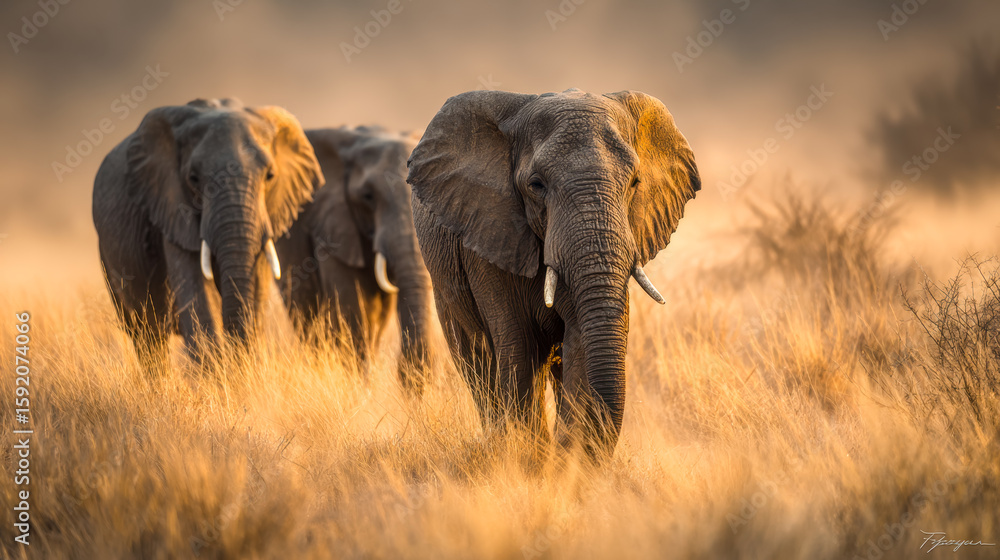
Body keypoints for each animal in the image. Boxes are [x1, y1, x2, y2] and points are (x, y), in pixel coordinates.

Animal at [93, 98, 324, 371]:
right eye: (193, 179)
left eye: (270, 176)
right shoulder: (171, 208)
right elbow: (198, 296)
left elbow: (255, 288)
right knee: (148, 338)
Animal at [274, 126, 433, 393]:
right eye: (368, 196)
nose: (406, 376)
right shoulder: (333, 224)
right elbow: (351, 302)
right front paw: (359, 391)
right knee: (305, 312)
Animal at [407, 89, 700, 455]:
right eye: (536, 185)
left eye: (635, 183)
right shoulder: (488, 238)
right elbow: (517, 343)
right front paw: (532, 454)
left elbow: (580, 342)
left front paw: (565, 454)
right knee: (476, 360)